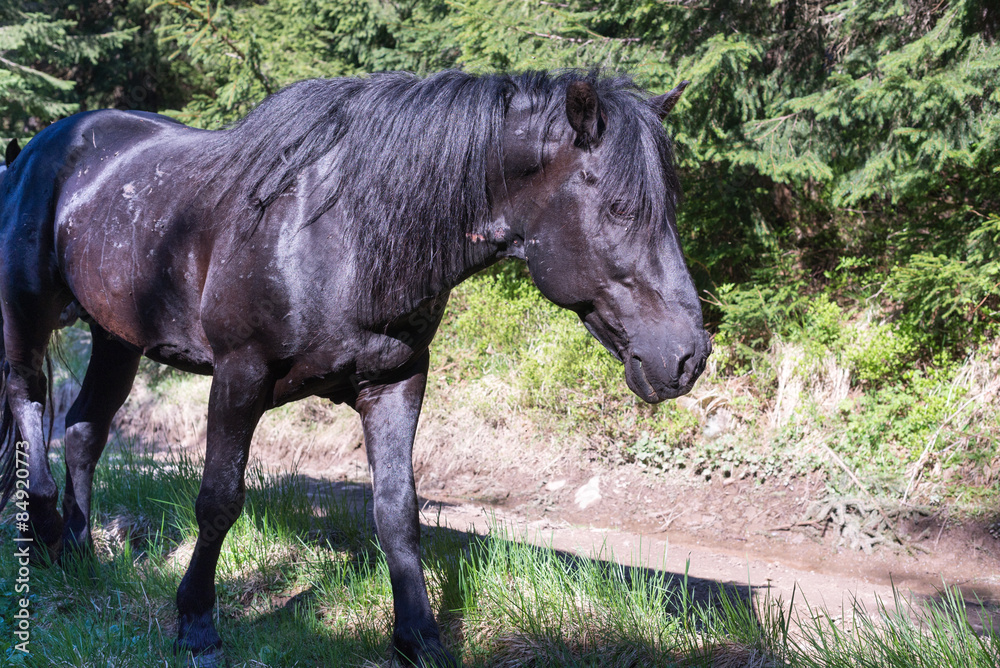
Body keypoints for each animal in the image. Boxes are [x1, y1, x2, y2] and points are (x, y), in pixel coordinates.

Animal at [0, 70, 709, 666]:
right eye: (618, 207)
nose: (686, 356)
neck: (342, 236)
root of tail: (40, 146)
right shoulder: (239, 377)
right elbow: (219, 501)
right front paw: (197, 625)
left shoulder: (395, 383)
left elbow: (397, 512)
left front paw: (419, 637)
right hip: (29, 319)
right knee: (28, 401)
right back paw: (45, 529)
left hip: (116, 337)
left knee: (85, 431)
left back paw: (82, 552)